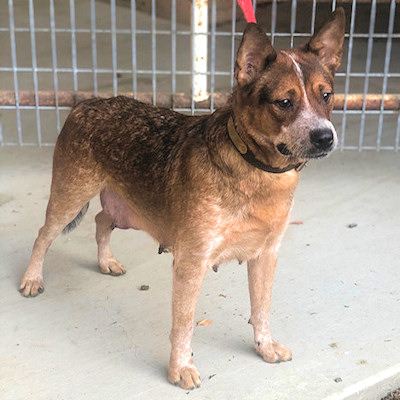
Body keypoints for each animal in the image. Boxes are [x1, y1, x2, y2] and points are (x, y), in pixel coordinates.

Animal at [19, 10, 344, 390]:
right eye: (284, 102)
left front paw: (264, 346)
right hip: (69, 197)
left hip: (125, 207)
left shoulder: (266, 254)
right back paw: (32, 278)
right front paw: (180, 367)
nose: (325, 137)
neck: (255, 169)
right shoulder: (191, 262)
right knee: (43, 235)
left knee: (101, 220)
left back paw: (106, 261)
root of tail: (86, 103)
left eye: (327, 95)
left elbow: (261, 308)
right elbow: (185, 323)